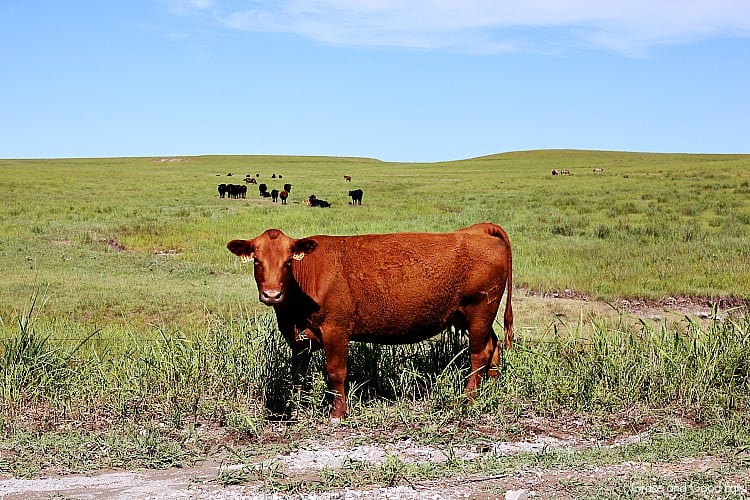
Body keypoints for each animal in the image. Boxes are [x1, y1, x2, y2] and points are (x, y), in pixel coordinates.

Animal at [226, 222, 516, 418]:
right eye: (257, 261)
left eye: (288, 262)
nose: (272, 294)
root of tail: (477, 230)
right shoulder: (298, 338)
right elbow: (298, 373)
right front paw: (299, 404)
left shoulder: (336, 330)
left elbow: (336, 372)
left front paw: (338, 414)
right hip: (474, 317)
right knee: (493, 346)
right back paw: (493, 385)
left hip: (479, 311)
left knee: (478, 354)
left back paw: (469, 398)